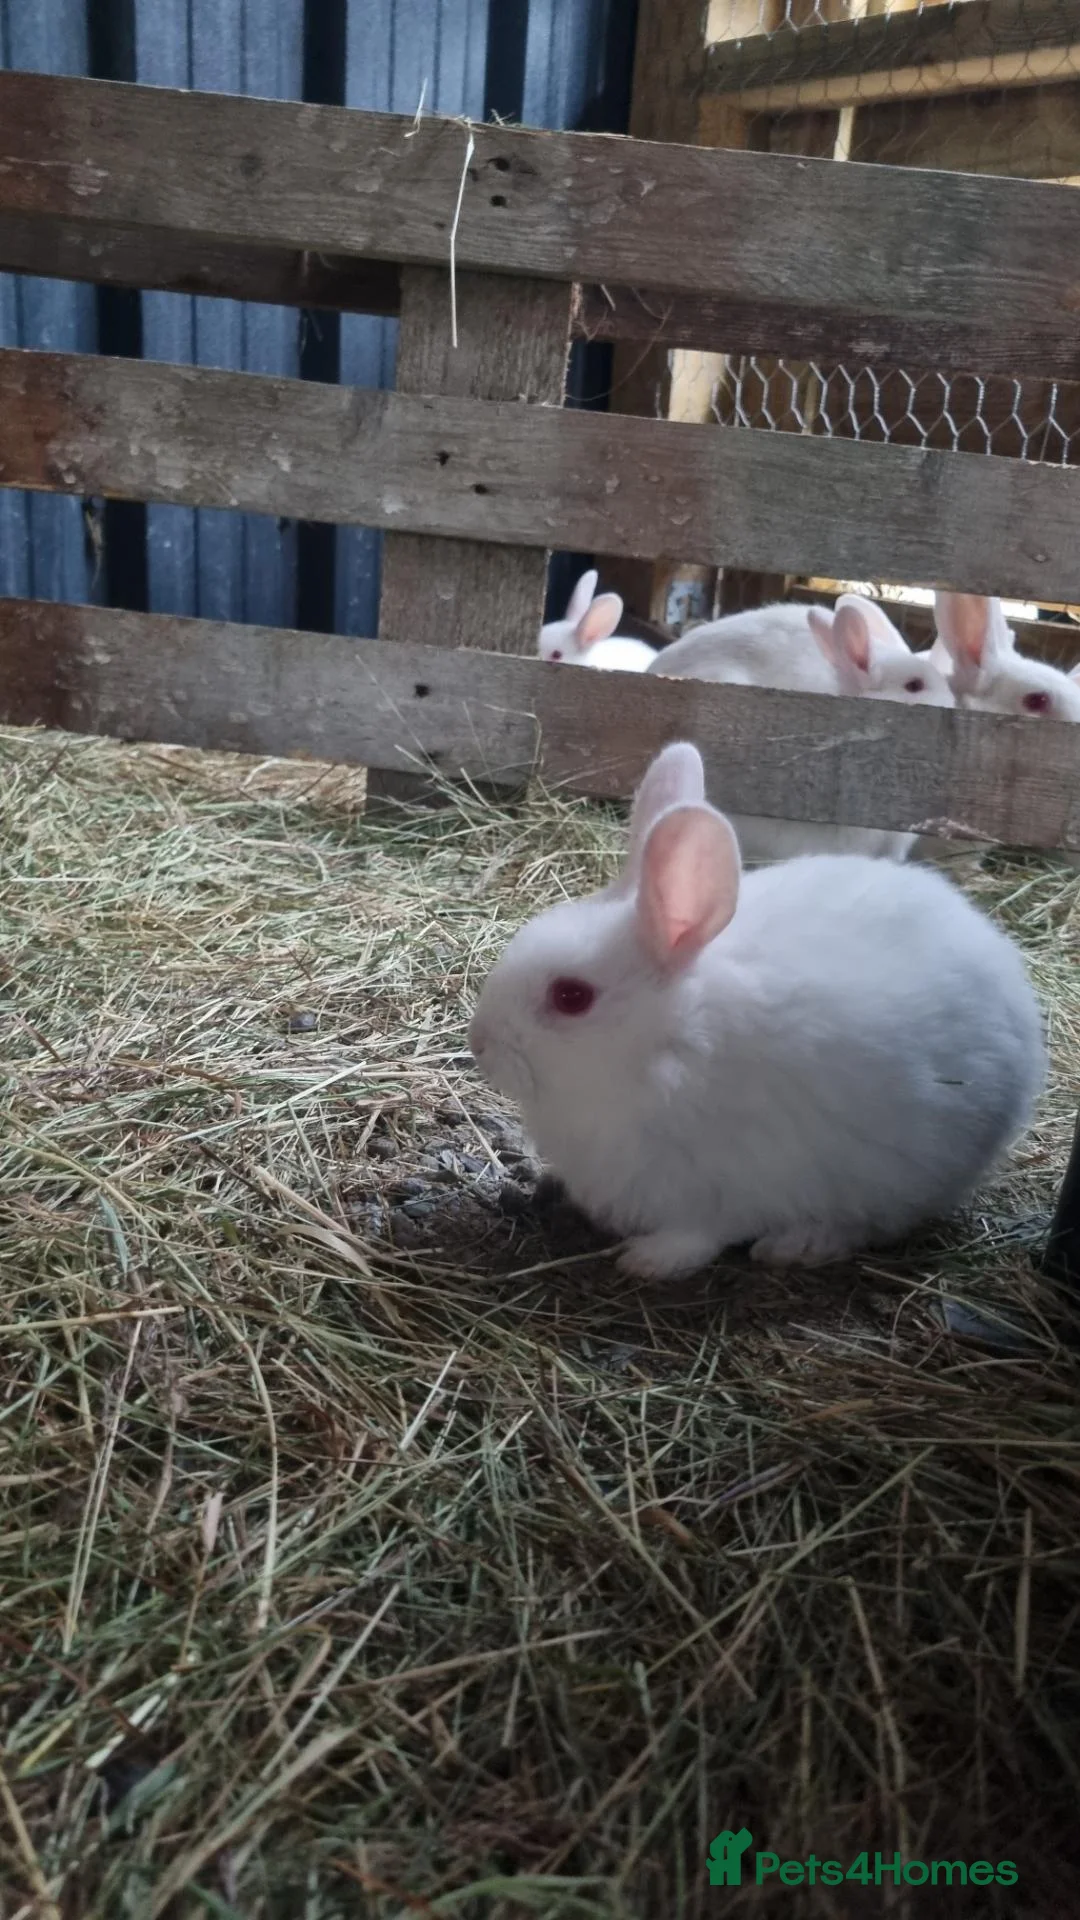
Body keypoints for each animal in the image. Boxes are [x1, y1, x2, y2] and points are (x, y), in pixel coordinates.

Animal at [468, 742, 1044, 1282]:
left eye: (571, 997)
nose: (479, 1044)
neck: (673, 1044)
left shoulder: (735, 1178)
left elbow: (704, 1232)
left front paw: (649, 1260)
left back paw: (798, 1245)